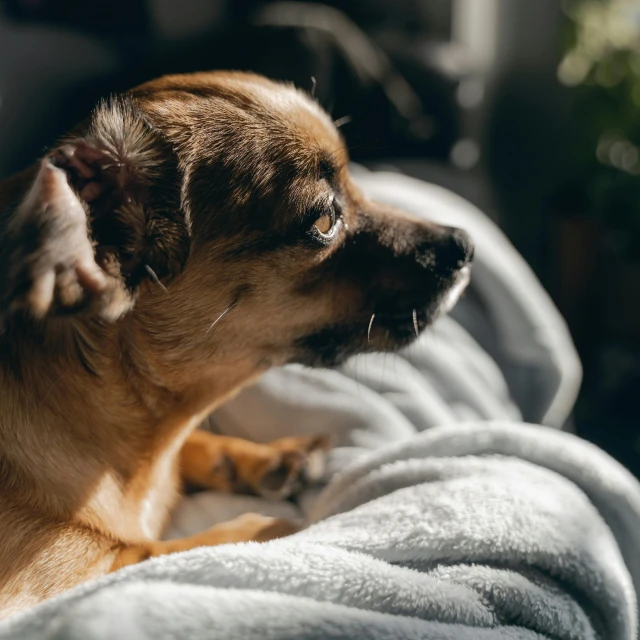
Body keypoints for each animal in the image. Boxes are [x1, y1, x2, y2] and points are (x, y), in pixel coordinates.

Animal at [0, 70, 472, 616]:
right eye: (324, 222)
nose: (464, 246)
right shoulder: (72, 579)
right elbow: (167, 550)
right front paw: (272, 530)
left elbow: (194, 448)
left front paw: (264, 459)